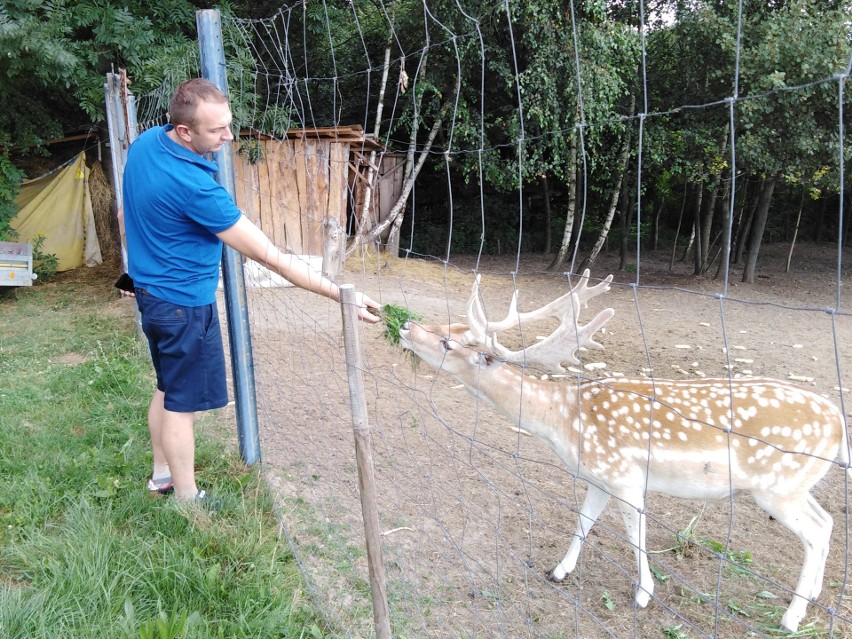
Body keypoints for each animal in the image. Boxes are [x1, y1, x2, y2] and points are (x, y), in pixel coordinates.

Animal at [402, 270, 852, 636]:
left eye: (447, 342)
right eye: (447, 324)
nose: (406, 325)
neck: (563, 422)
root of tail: (838, 424)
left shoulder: (624, 475)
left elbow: (635, 534)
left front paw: (643, 594)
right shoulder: (598, 477)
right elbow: (583, 523)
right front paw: (559, 571)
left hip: (777, 487)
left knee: (814, 533)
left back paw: (791, 618)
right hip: (796, 485)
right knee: (827, 522)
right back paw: (812, 596)